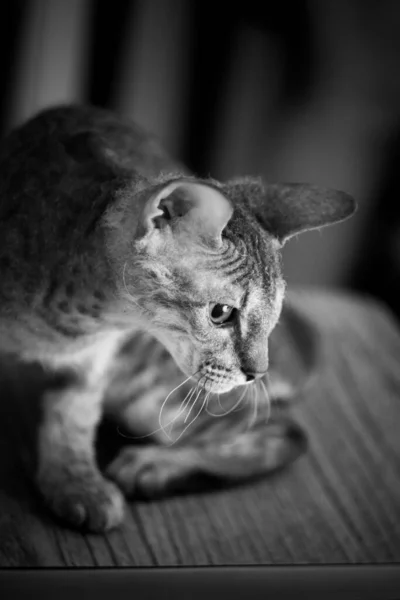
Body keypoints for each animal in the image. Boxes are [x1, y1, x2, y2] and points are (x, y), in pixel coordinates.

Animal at [0, 105, 356, 532]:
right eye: (222, 313)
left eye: (272, 315)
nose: (257, 373)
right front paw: (75, 484)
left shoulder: (95, 364)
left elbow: (72, 416)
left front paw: (78, 485)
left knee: (287, 433)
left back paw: (154, 467)